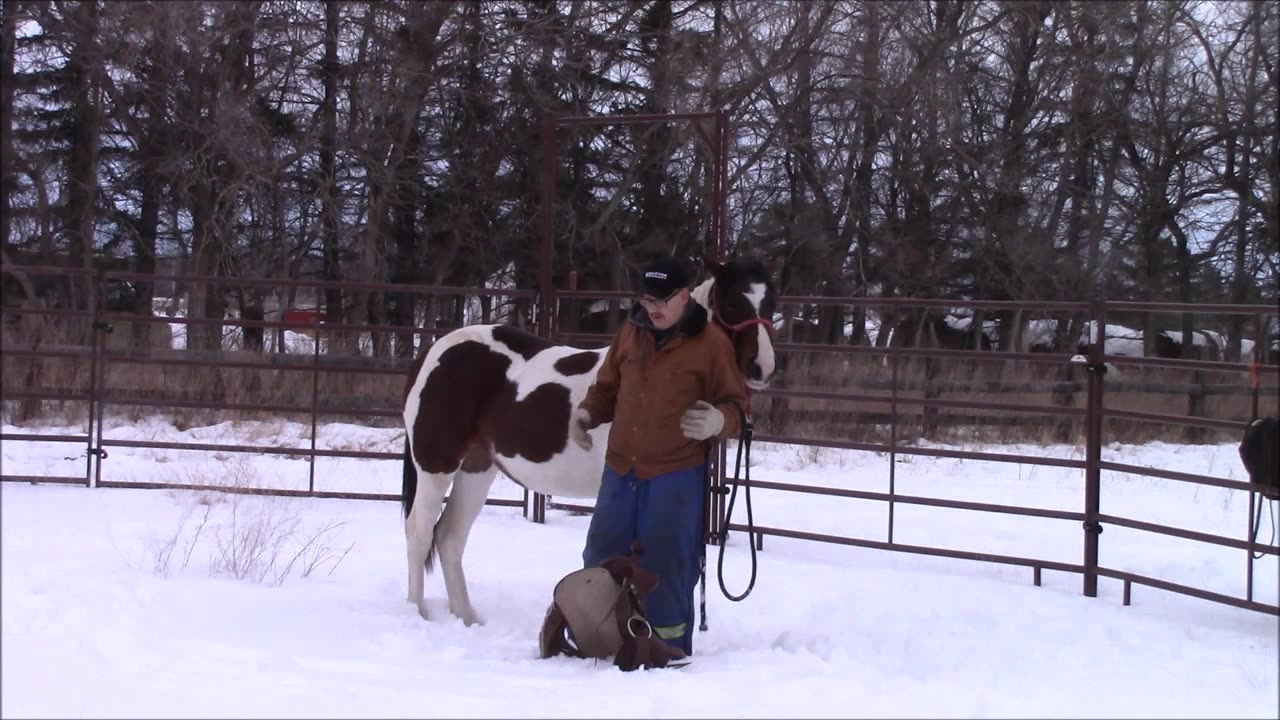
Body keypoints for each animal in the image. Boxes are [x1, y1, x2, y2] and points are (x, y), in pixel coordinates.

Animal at [399, 256, 778, 622]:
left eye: (770, 302)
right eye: (733, 300)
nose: (761, 368)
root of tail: (433, 351)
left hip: (477, 467)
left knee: (450, 537)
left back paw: (467, 618)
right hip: (436, 464)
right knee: (419, 532)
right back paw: (417, 613)